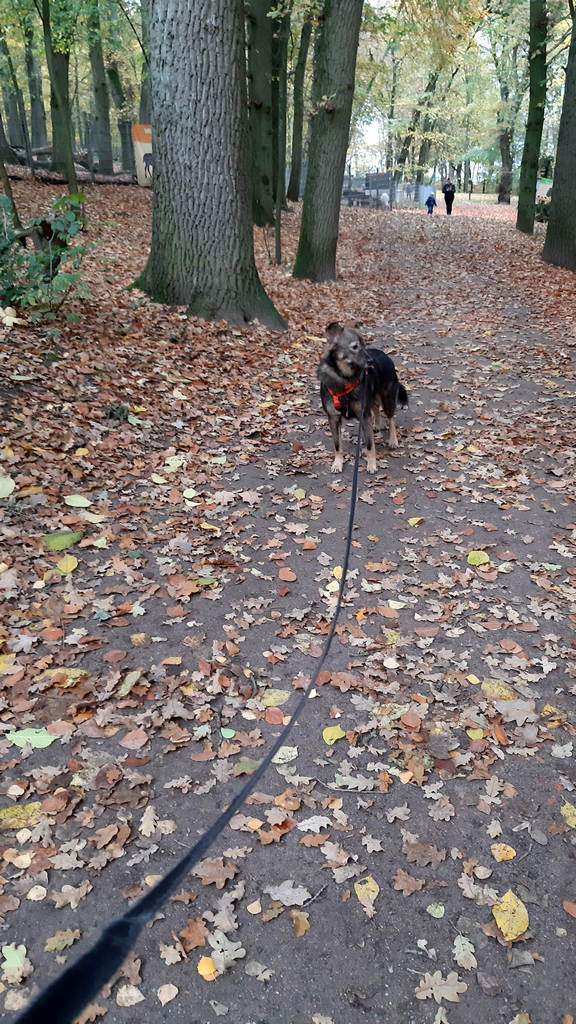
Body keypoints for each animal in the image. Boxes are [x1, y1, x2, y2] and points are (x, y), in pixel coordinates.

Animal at [317, 322, 408, 474]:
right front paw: (337, 463)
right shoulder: (333, 418)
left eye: (365, 345)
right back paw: (377, 425)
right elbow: (337, 445)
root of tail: (384, 354)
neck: (343, 379)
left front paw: (372, 464)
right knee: (376, 408)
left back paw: (393, 440)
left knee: (391, 419)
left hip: (387, 400)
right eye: (355, 347)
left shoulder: (364, 415)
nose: (370, 361)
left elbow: (370, 444)